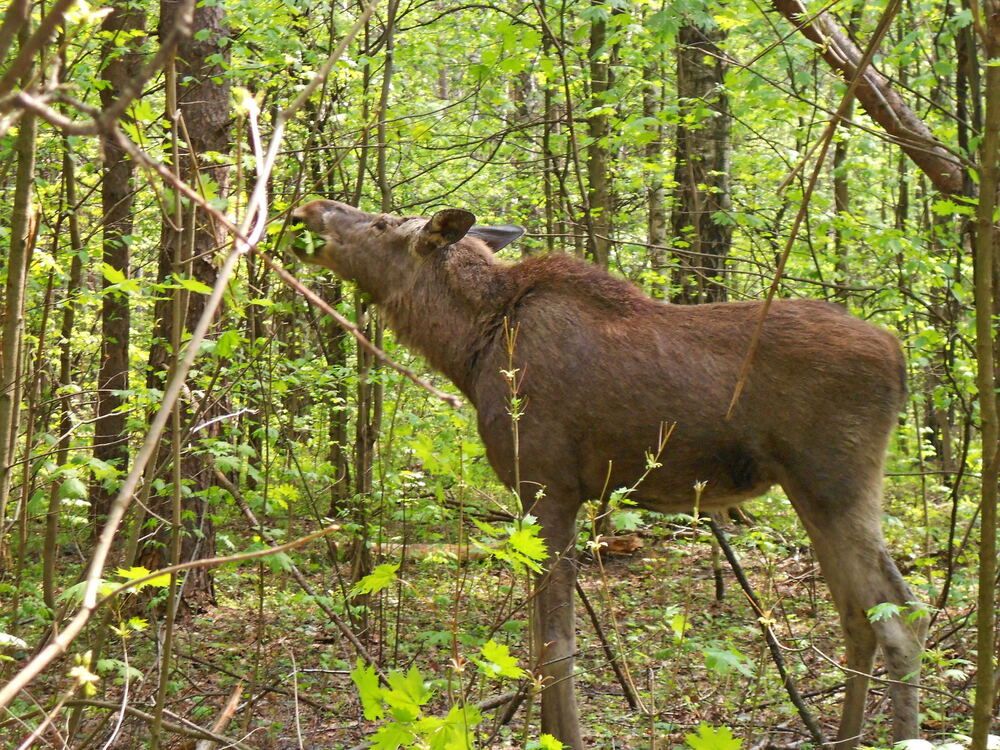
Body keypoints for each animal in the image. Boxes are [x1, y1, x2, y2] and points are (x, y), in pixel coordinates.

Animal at [290, 198, 927, 749]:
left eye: (381, 223)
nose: (305, 210)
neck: (467, 348)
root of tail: (901, 362)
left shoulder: (550, 487)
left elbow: (557, 644)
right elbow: (540, 643)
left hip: (838, 483)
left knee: (901, 618)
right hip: (811, 492)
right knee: (860, 617)